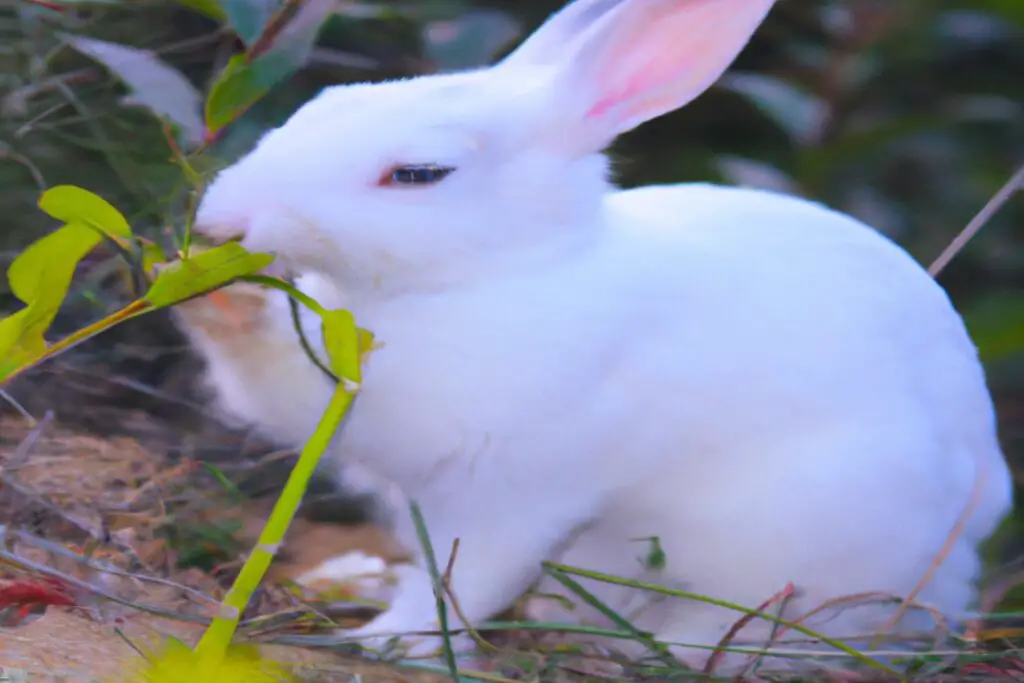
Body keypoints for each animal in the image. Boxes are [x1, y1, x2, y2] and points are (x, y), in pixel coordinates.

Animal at [172, 0, 1015, 675]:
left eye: (418, 173)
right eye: (314, 107)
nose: (221, 219)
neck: (489, 275)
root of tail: (971, 543)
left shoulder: (511, 493)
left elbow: (466, 577)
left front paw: (391, 640)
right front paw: (212, 294)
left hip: (797, 548)